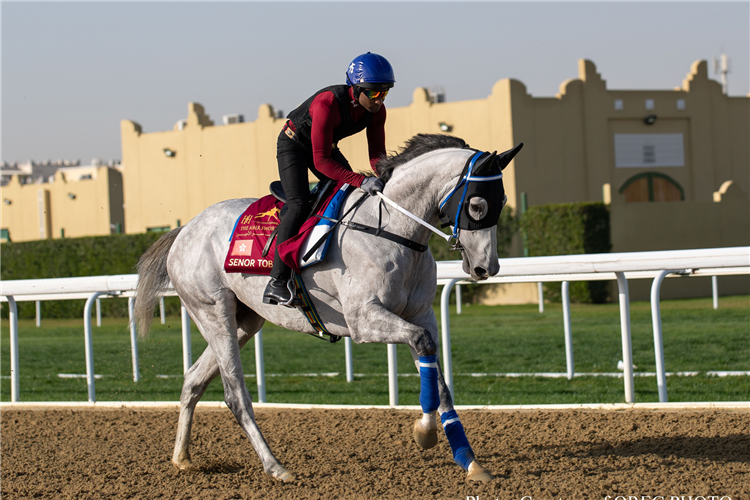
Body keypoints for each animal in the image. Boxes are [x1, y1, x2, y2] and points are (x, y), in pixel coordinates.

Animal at [135, 134, 520, 484]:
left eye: (501, 201)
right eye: (477, 206)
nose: (487, 268)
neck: (392, 229)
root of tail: (185, 230)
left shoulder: (421, 314)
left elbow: (438, 380)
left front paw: (470, 462)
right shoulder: (363, 320)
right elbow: (422, 344)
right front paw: (424, 431)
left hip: (244, 321)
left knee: (193, 379)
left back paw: (182, 459)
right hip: (213, 313)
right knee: (234, 394)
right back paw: (275, 467)